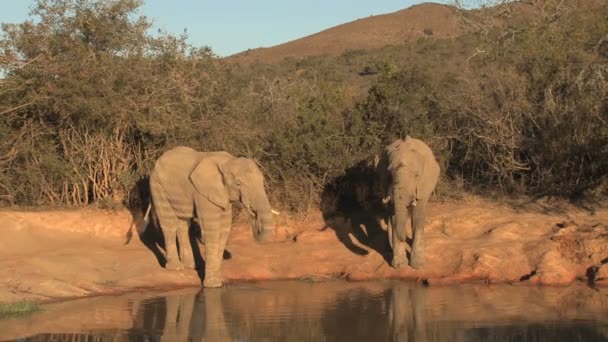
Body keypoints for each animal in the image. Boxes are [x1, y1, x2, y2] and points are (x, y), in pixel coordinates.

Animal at [141, 146, 280, 288]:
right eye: (238, 183)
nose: (254, 215)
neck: (229, 161)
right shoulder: (203, 192)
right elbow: (212, 229)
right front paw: (213, 285)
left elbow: (224, 229)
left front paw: (218, 281)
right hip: (157, 186)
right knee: (169, 223)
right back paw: (176, 268)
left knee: (183, 224)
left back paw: (190, 266)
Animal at [372, 135, 440, 268]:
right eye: (390, 174)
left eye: (416, 175)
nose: (403, 238)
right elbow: (394, 217)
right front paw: (399, 266)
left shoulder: (423, 186)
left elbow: (418, 215)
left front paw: (417, 265)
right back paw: (389, 249)